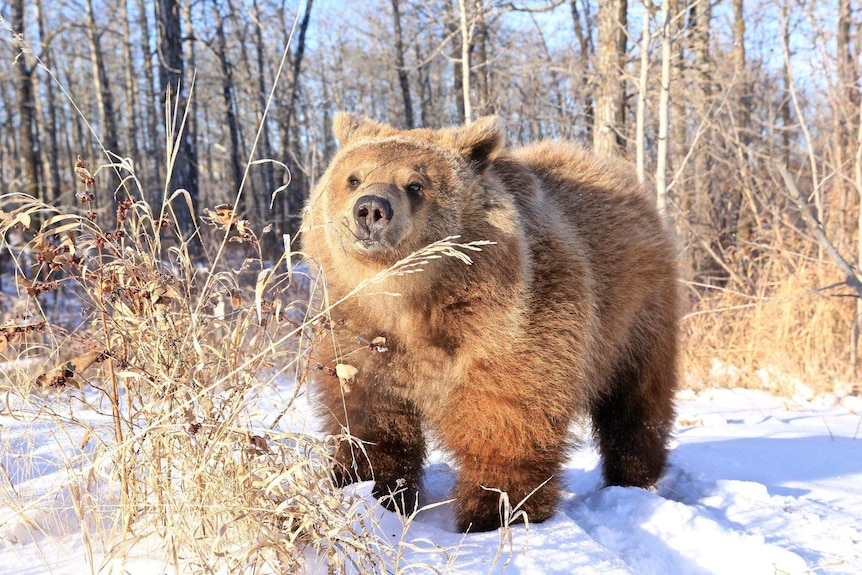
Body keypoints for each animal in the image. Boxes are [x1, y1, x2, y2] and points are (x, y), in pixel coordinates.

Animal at [300, 113, 680, 536]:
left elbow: (505, 420)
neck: (412, 303)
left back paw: (634, 476)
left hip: (636, 314)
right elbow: (367, 421)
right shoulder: (359, 336)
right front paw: (374, 491)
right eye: (353, 177)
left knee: (635, 405)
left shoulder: (513, 326)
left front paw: (493, 513)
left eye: (415, 184)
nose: (371, 208)